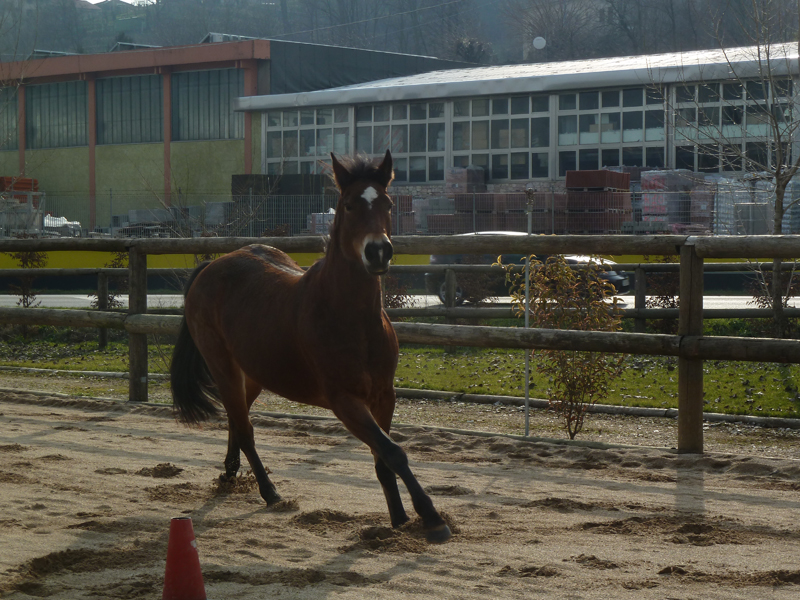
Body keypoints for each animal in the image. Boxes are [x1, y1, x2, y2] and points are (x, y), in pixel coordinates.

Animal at [170, 150, 451, 543]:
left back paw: (229, 473)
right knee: (245, 428)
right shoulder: (345, 401)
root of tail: (211, 266)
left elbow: (383, 457)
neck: (351, 319)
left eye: (388, 203)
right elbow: (393, 453)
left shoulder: (384, 396)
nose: (378, 252)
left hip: (253, 374)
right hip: (222, 366)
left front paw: (398, 520)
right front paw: (431, 518)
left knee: (236, 419)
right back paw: (269, 492)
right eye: (348, 205)